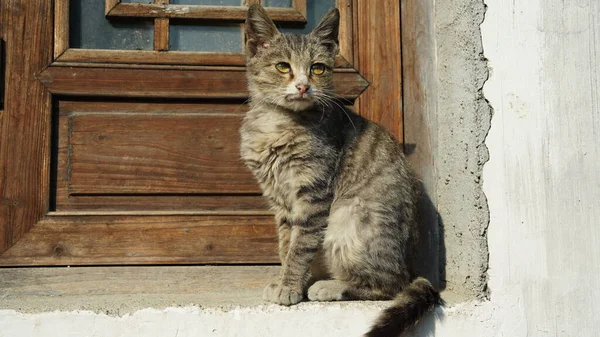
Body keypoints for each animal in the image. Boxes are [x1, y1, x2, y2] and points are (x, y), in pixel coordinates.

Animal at [239, 5, 440, 336]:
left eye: (318, 69)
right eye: (282, 67)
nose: (303, 85)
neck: (277, 124)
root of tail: (413, 268)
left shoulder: (315, 194)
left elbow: (300, 246)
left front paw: (290, 286)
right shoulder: (280, 201)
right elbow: (286, 244)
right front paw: (286, 279)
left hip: (349, 218)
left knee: (390, 285)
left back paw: (332, 286)